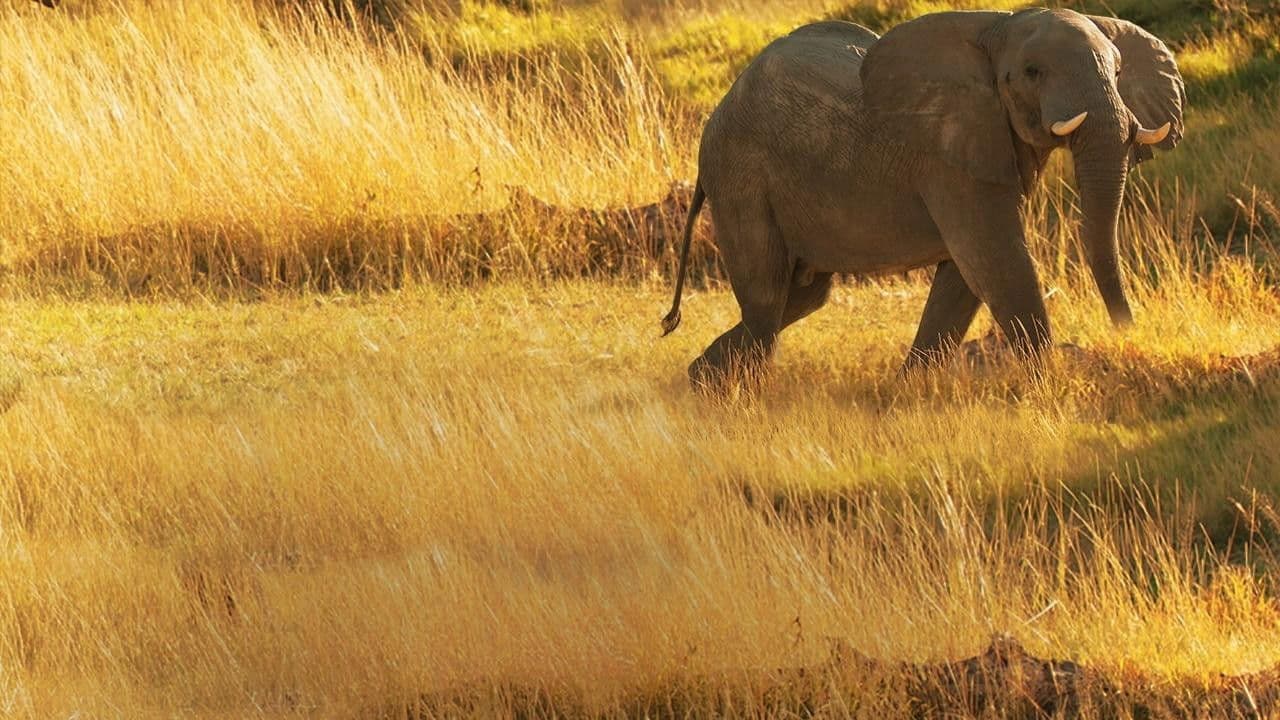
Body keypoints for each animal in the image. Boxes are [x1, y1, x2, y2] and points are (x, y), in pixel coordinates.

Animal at [660, 9, 1184, 388]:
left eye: (1119, 70)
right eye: (1032, 73)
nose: (1127, 331)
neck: (997, 27)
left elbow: (965, 276)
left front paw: (904, 393)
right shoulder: (949, 156)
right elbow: (995, 260)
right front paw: (1048, 386)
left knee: (800, 296)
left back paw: (702, 379)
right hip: (741, 175)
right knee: (767, 299)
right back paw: (732, 395)